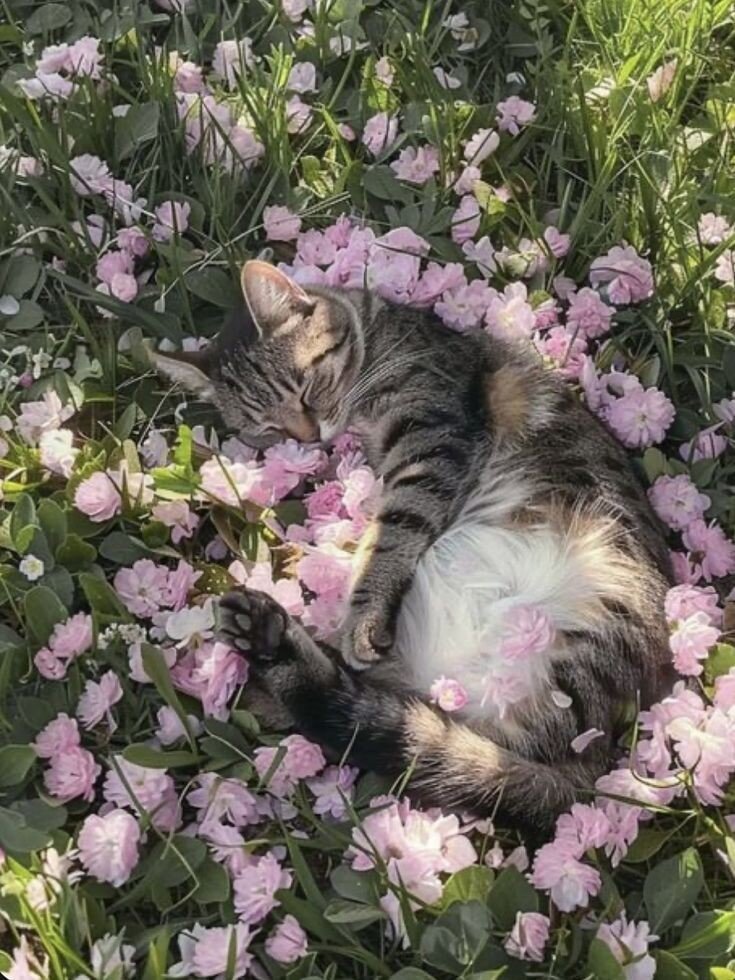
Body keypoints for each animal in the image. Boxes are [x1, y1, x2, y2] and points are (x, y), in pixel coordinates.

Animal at [151, 260, 680, 836]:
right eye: (264, 427)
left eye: (305, 388)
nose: (309, 437)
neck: (377, 333)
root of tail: (595, 764)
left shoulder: (432, 436)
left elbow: (394, 531)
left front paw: (363, 612)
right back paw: (263, 639)